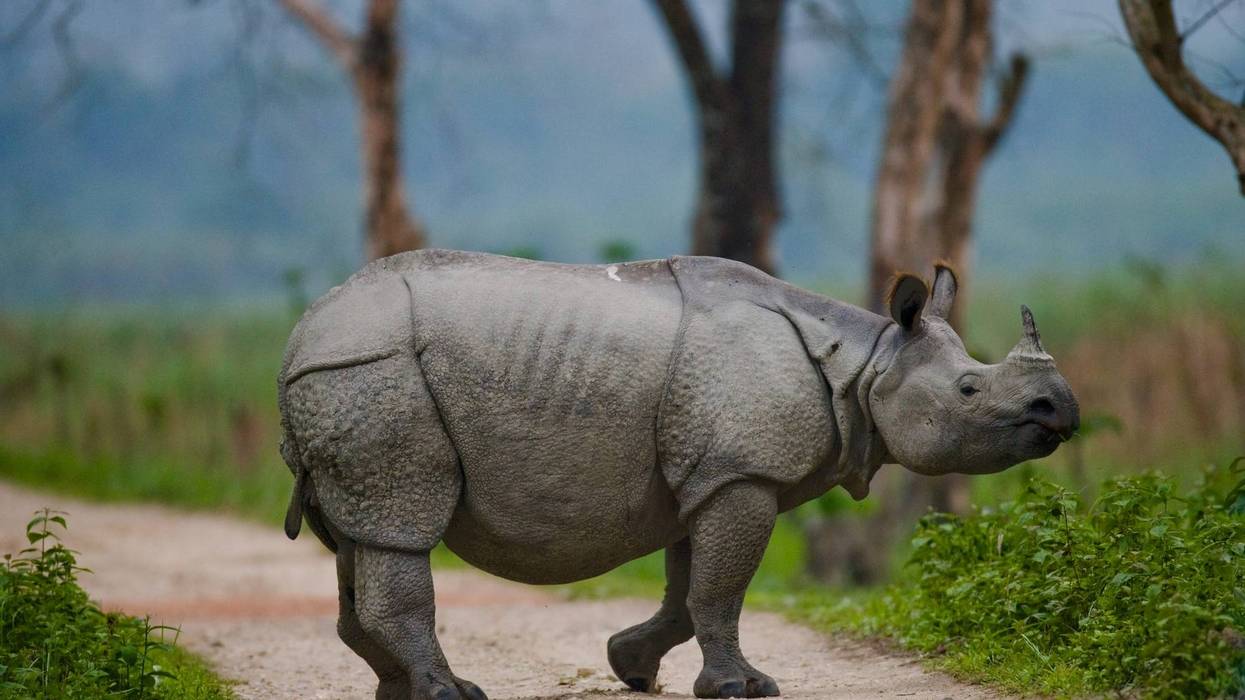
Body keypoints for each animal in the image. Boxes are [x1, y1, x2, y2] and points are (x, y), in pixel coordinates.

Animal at [278, 249, 1079, 700]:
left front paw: (631, 667)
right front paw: (743, 689)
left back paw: (401, 692)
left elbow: (689, 588)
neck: (868, 362)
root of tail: (300, 335)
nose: (1061, 410)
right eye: (970, 390)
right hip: (373, 374)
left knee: (357, 537)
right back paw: (451, 693)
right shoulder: (742, 471)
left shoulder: (712, 471)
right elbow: (720, 589)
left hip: (348, 379)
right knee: (401, 524)